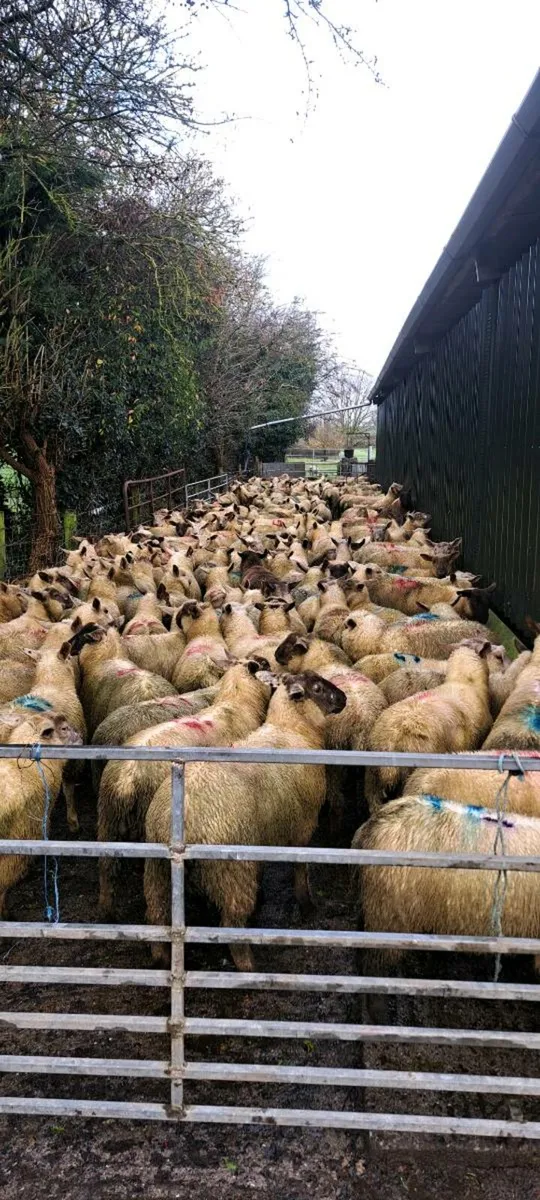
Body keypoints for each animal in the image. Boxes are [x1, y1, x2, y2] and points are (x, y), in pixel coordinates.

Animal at [98, 660, 273, 916]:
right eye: (266, 668)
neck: (236, 702)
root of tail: (125, 779)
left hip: (107, 818)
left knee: (106, 866)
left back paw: (107, 909)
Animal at [144, 671, 347, 969]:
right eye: (318, 688)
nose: (344, 698)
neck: (292, 729)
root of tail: (178, 819)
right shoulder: (303, 825)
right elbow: (301, 869)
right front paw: (307, 905)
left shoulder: (258, 836)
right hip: (231, 871)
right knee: (230, 923)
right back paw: (248, 965)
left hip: (157, 868)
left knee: (156, 913)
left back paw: (160, 957)